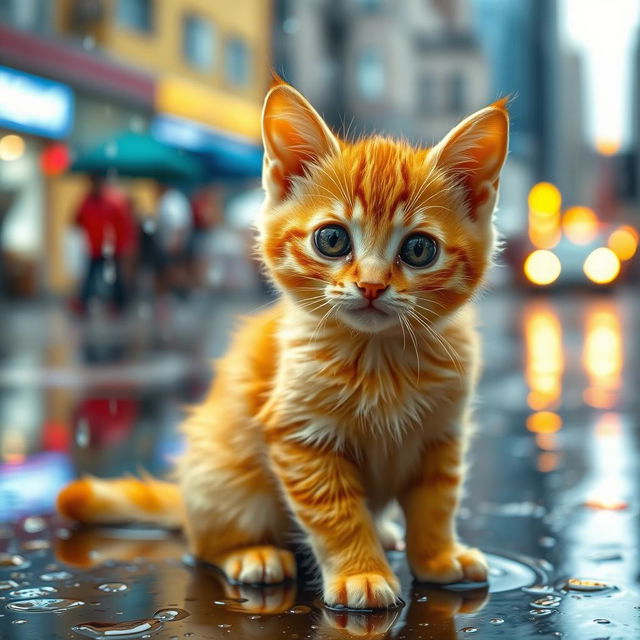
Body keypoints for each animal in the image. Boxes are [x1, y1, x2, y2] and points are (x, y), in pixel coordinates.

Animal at [60, 80, 510, 608]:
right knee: (200, 544)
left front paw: (437, 556)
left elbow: (437, 501)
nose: (372, 285)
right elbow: (336, 513)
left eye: (419, 249)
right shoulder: (300, 434)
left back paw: (387, 532)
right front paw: (361, 572)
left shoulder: (443, 435)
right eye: (332, 240)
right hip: (221, 478)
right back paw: (251, 554)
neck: (379, 358)